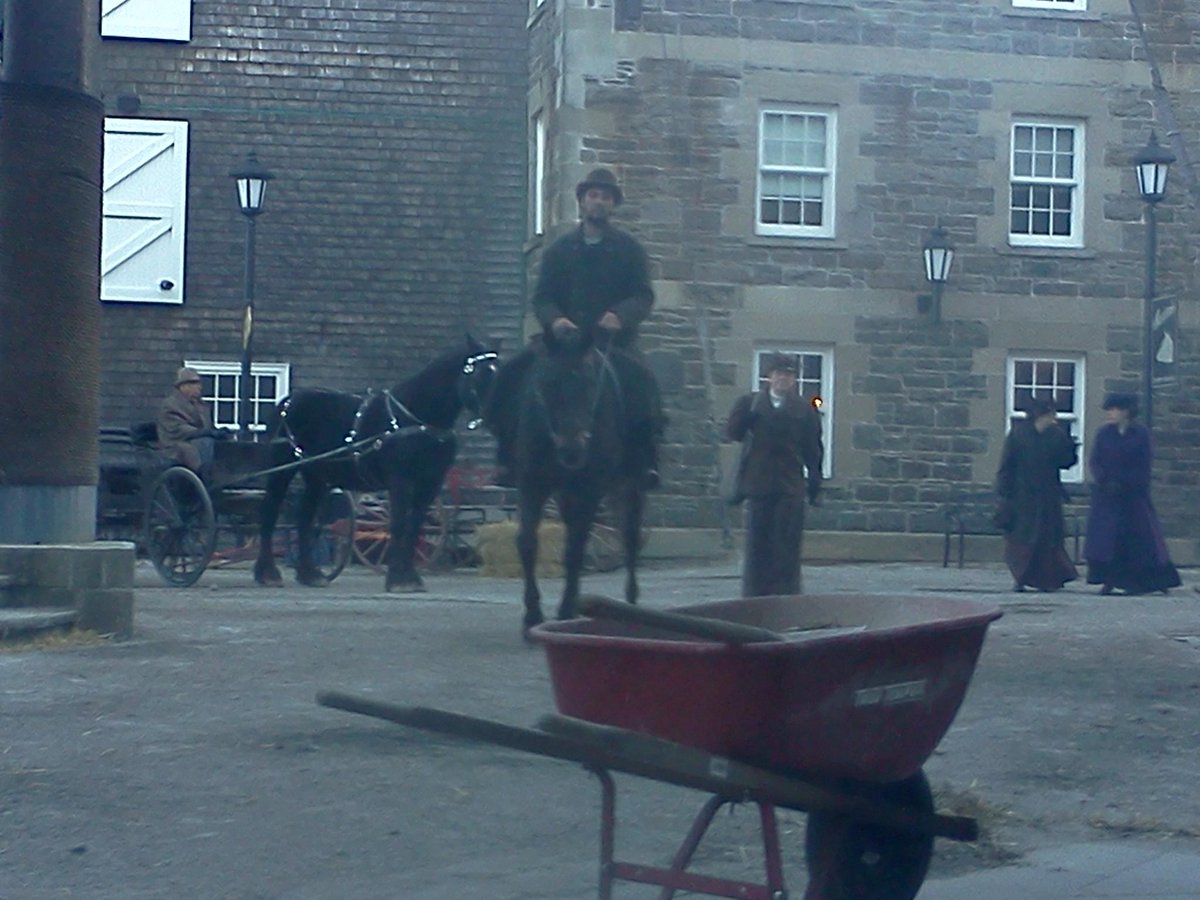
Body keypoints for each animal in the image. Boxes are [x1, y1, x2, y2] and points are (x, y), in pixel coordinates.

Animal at [253, 336, 496, 592]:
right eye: (478, 373)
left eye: (496, 372)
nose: (493, 415)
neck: (417, 420)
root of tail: (289, 401)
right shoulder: (400, 479)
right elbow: (398, 523)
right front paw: (397, 579)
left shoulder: (430, 483)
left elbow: (415, 525)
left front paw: (410, 577)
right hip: (282, 469)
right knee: (270, 512)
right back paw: (268, 573)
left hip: (317, 474)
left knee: (305, 519)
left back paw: (310, 574)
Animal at [511, 333, 652, 633]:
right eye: (548, 382)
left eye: (589, 382)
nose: (572, 450)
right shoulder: (531, 484)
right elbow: (528, 542)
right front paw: (532, 613)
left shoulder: (590, 488)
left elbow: (575, 548)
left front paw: (565, 610)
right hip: (568, 495)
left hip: (630, 485)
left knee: (630, 536)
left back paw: (631, 602)